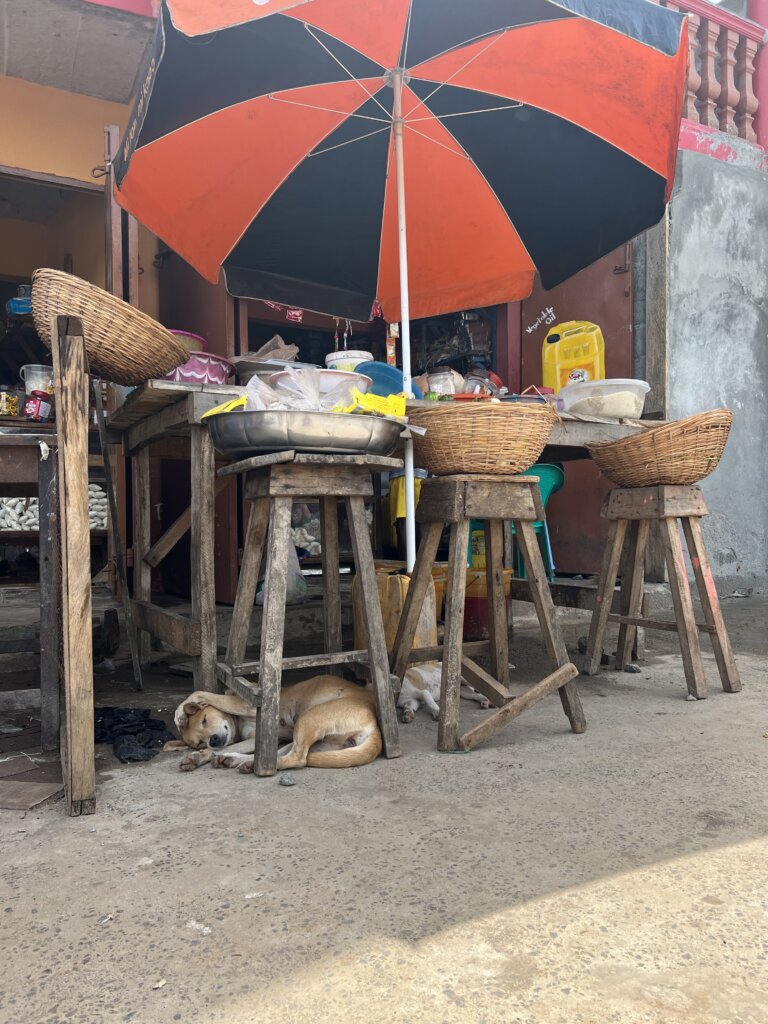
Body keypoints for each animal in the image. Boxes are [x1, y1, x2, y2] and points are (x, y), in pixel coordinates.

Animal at [164, 675, 382, 770]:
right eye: (199, 742)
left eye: (205, 719)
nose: (213, 741)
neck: (238, 722)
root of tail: (374, 725)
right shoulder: (254, 738)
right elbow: (227, 747)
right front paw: (198, 756)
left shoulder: (247, 705)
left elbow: (200, 693)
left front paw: (180, 713)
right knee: (283, 755)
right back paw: (238, 760)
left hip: (308, 718)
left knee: (299, 759)